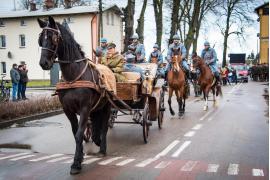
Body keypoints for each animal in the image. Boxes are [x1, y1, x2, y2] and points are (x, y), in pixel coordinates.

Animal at [37, 16, 110, 174]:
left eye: (52, 38)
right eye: (40, 40)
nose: (43, 63)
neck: (73, 77)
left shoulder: (84, 108)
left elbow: (79, 134)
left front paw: (76, 163)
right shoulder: (68, 110)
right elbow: (76, 133)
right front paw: (80, 157)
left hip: (107, 106)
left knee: (105, 126)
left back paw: (102, 147)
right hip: (96, 108)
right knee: (95, 126)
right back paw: (97, 139)